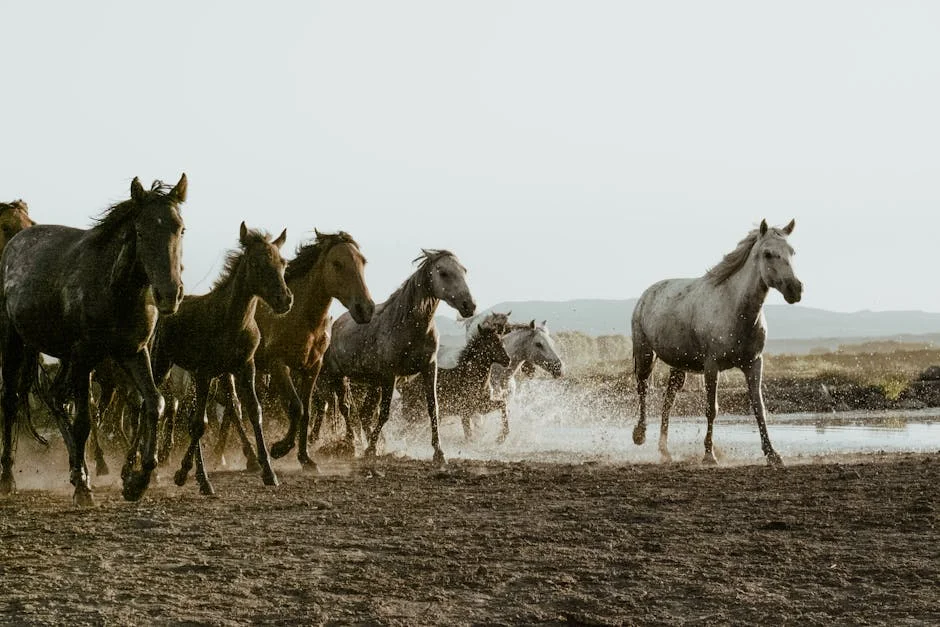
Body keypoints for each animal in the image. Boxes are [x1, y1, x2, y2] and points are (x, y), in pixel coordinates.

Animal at [0, 174, 187, 504]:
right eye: (141, 231)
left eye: (180, 229)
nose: (169, 295)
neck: (115, 290)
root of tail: (16, 242)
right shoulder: (86, 357)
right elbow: (85, 421)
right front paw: (85, 490)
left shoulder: (134, 352)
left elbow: (155, 403)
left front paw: (137, 481)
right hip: (16, 343)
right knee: (11, 401)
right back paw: (10, 477)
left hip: (65, 357)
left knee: (56, 397)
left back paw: (78, 469)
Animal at [150, 222, 292, 495]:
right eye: (257, 263)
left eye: (283, 262)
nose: (285, 299)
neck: (232, 322)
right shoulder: (204, 372)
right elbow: (199, 425)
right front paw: (192, 477)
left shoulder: (245, 368)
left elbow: (254, 412)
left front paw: (269, 472)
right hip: (163, 363)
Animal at [317, 249, 476, 467]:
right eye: (443, 273)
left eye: (464, 271)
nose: (469, 305)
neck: (408, 326)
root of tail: (335, 324)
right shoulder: (390, 375)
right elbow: (384, 413)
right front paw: (371, 450)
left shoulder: (429, 368)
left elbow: (433, 410)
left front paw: (439, 453)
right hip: (339, 377)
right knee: (346, 409)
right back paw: (352, 446)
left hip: (374, 383)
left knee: (365, 414)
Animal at [631, 219, 803, 467]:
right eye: (768, 253)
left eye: (792, 251)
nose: (795, 289)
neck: (735, 309)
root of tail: (647, 294)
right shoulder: (711, 366)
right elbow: (712, 409)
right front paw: (709, 455)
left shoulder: (754, 364)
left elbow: (759, 408)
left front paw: (772, 454)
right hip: (645, 354)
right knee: (643, 388)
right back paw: (640, 435)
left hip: (679, 366)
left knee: (668, 400)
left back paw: (665, 451)